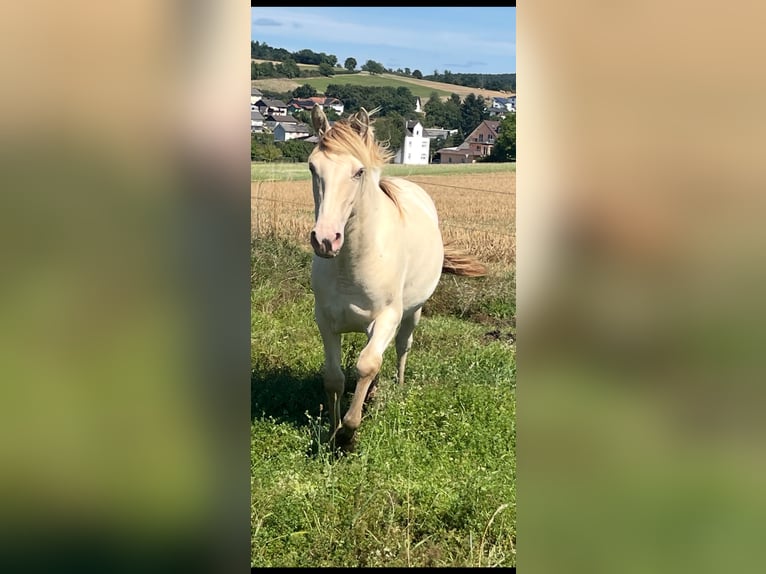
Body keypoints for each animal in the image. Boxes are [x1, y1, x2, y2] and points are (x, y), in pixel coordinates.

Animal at [308, 105, 486, 449]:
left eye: (358, 171)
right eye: (312, 167)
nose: (325, 240)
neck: (352, 266)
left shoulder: (387, 316)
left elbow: (366, 364)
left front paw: (349, 432)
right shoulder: (325, 320)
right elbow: (335, 376)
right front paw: (335, 430)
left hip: (412, 313)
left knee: (402, 347)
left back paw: (398, 388)